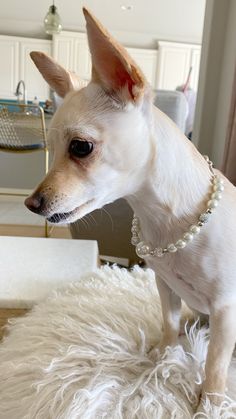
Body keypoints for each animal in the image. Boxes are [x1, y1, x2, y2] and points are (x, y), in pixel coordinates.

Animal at [25, 7, 236, 410]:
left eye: (80, 148)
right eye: (52, 149)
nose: (30, 204)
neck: (170, 224)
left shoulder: (225, 308)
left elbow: (215, 363)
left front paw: (211, 403)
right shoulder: (166, 285)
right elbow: (169, 324)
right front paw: (162, 358)